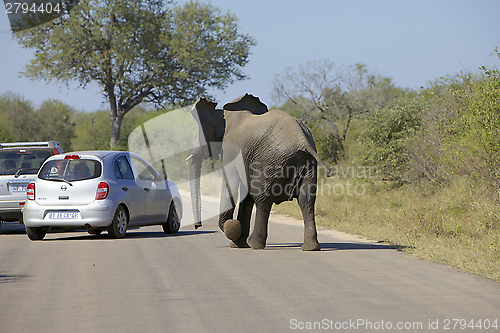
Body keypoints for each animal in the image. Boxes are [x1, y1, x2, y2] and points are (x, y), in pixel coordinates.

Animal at [187, 92, 324, 249]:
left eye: (196, 135)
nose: (197, 226)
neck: (221, 115)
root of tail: (302, 140)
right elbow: (245, 195)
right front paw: (238, 243)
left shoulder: (230, 149)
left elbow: (232, 184)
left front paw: (233, 232)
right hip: (307, 163)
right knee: (306, 199)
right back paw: (310, 247)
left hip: (269, 162)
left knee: (262, 199)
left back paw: (254, 244)